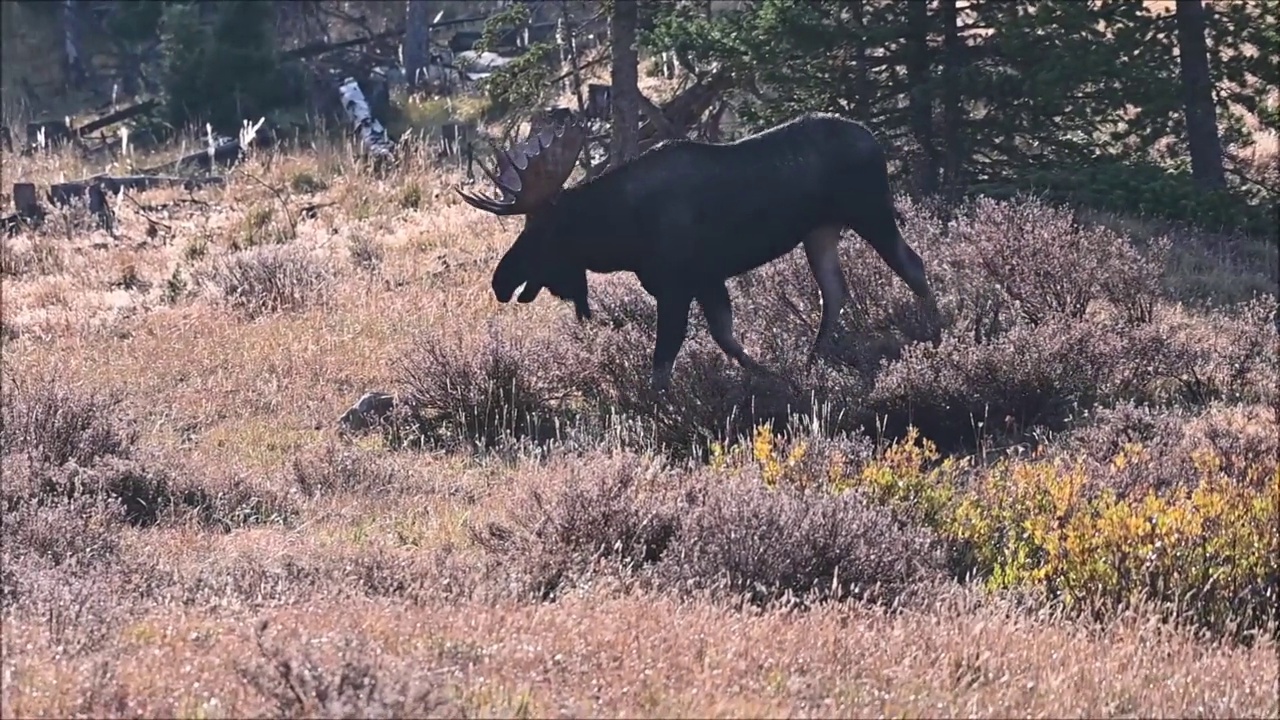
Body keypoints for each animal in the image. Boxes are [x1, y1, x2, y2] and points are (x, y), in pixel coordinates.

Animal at [455, 110, 936, 392]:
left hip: (870, 209)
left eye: (544, 230)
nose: (500, 281)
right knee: (834, 291)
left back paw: (937, 329)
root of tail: (873, 138)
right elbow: (726, 337)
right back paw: (813, 358)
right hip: (818, 231)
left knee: (912, 264)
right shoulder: (707, 279)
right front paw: (773, 375)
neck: (621, 236)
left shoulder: (677, 285)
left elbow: (663, 359)